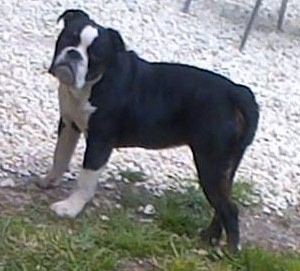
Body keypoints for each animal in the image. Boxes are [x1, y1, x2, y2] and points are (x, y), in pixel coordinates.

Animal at [41, 10, 258, 253]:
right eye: (68, 38)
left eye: (94, 55)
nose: (74, 54)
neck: (94, 83)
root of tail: (237, 92)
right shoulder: (69, 125)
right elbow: (60, 156)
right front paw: (50, 180)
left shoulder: (99, 141)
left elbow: (85, 179)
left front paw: (70, 207)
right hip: (225, 165)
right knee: (222, 203)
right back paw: (209, 237)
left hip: (210, 163)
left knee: (229, 208)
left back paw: (230, 251)